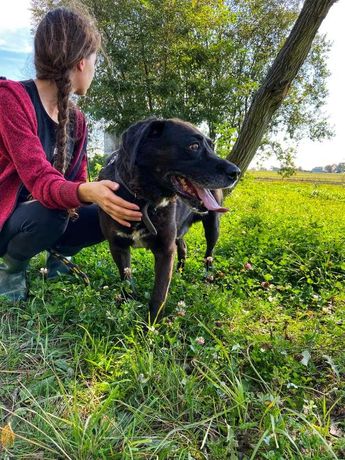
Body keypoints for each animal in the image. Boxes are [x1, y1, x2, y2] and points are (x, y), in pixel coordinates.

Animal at [98, 117, 239, 322]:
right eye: (194, 146)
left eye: (212, 146)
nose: (236, 172)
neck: (143, 200)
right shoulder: (118, 246)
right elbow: (126, 280)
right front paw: (127, 308)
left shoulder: (165, 250)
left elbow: (159, 293)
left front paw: (151, 325)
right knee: (183, 247)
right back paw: (179, 272)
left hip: (213, 227)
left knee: (209, 254)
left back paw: (206, 279)